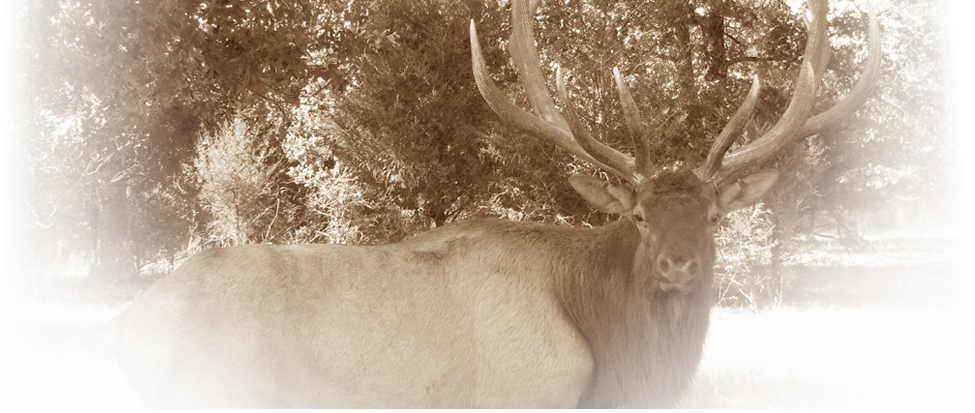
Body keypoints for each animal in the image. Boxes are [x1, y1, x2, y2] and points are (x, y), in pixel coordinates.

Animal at [103, 0, 880, 406]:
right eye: (636, 215)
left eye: (714, 215)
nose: (679, 264)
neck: (611, 369)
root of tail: (122, 328)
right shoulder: (524, 394)